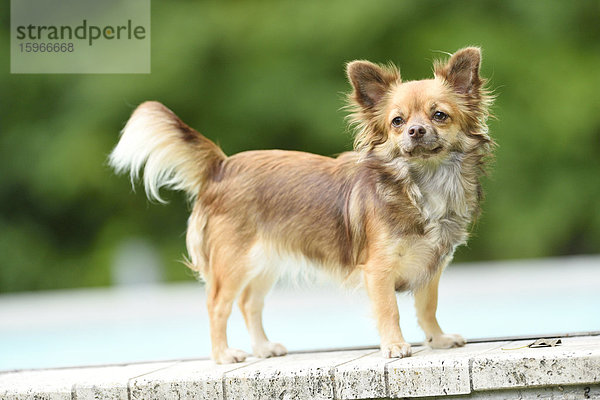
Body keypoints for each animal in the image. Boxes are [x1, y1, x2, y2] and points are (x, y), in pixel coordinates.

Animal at [110, 47, 494, 362]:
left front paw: (438, 339)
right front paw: (395, 346)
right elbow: (390, 310)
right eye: (397, 122)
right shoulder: (379, 269)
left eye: (439, 115)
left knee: (249, 304)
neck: (422, 183)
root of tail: (221, 166)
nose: (415, 131)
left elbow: (428, 307)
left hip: (264, 262)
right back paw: (223, 355)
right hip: (233, 263)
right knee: (217, 306)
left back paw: (264, 348)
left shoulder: (432, 264)